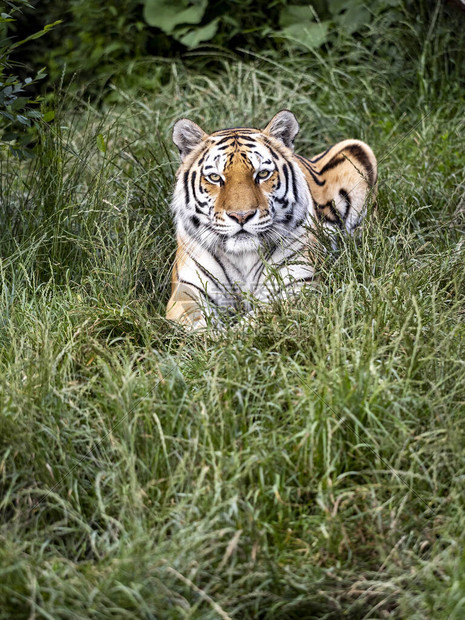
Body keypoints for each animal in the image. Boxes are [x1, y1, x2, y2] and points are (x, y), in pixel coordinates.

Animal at [165, 109, 376, 330]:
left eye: (263, 174)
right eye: (215, 177)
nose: (241, 216)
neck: (242, 257)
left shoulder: (298, 287)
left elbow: (256, 321)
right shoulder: (186, 291)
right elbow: (197, 324)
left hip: (357, 149)